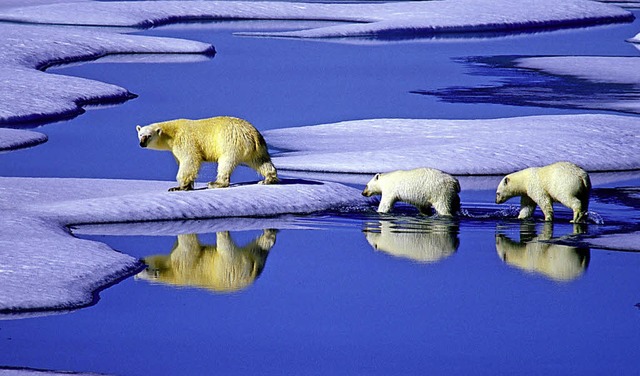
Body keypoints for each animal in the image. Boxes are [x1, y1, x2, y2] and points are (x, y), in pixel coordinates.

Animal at [136, 116, 278, 191]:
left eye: (148, 136)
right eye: (140, 134)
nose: (141, 144)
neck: (172, 133)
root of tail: (253, 134)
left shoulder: (184, 140)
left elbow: (189, 160)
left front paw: (178, 187)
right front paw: (188, 186)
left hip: (231, 142)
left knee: (225, 162)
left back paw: (215, 183)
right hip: (257, 148)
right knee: (261, 161)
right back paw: (267, 179)